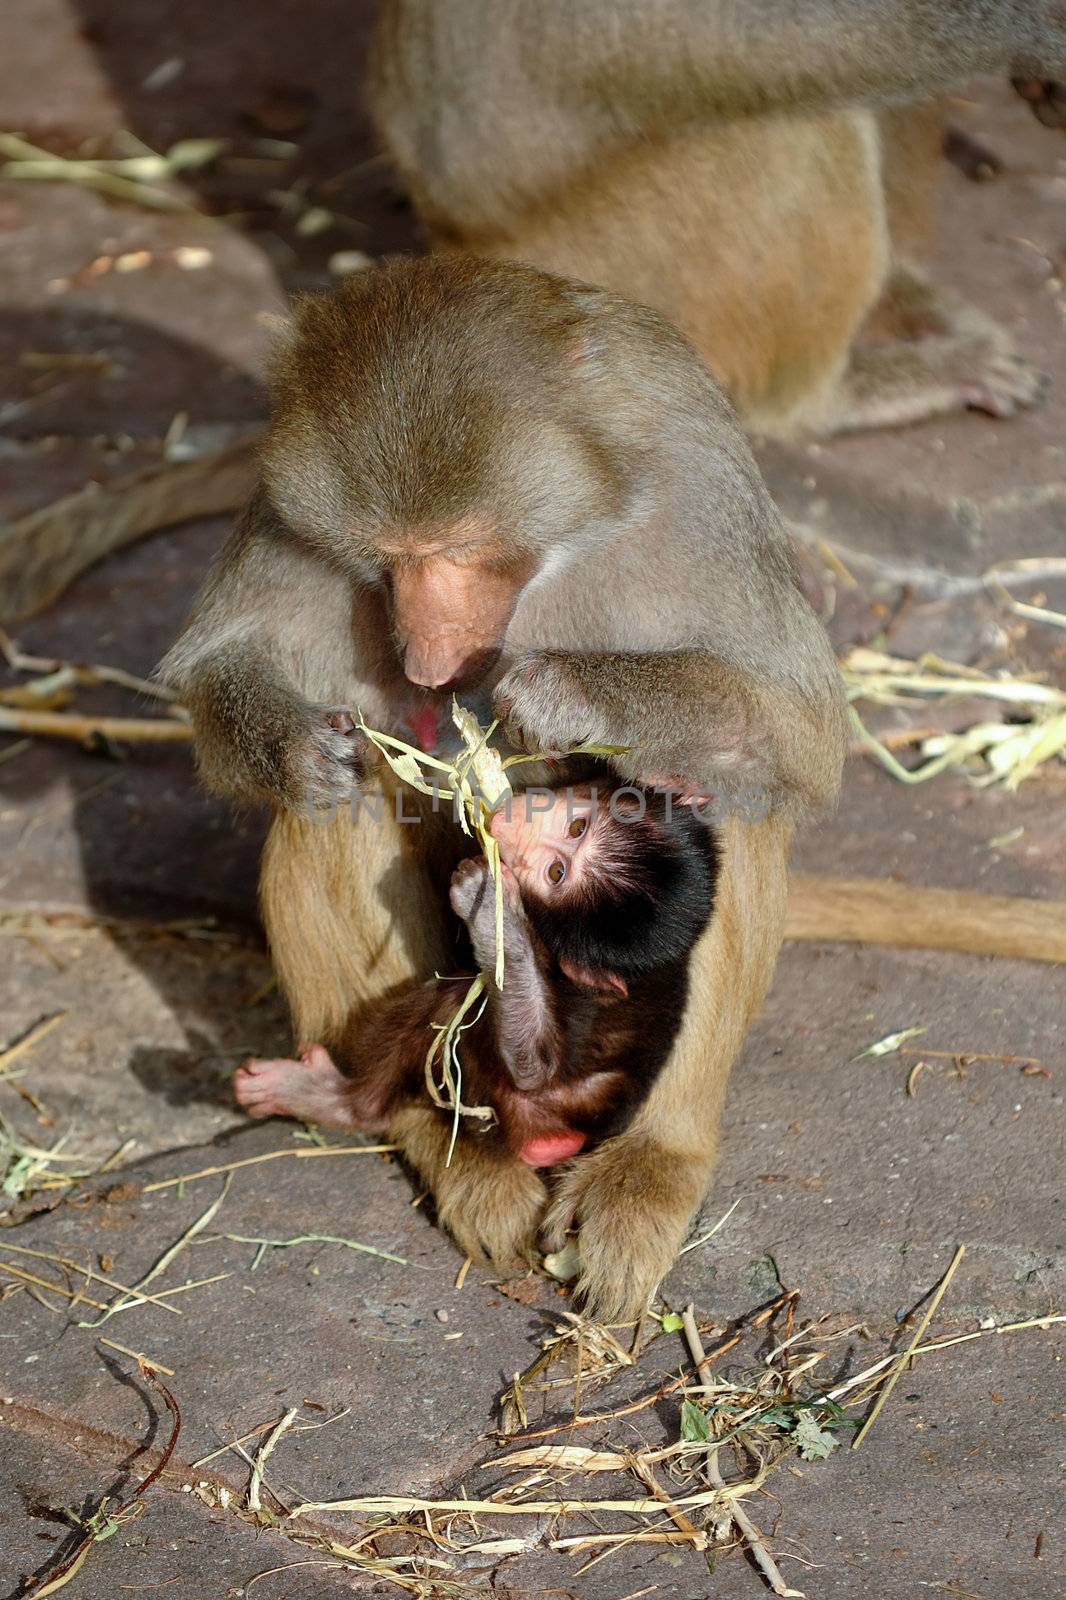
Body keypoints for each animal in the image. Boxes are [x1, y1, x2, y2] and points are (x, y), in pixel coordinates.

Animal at [232, 768, 713, 1171]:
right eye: (578, 828)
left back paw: (339, 1104)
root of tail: (560, 1134)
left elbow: (534, 1068)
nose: (520, 827)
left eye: (555, 873)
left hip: (502, 1097)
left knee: (447, 1005)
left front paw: (492, 910)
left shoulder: (583, 998)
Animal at [368, 0, 1062, 438]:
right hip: (612, 268)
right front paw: (1036, 32)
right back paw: (825, 398)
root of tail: (454, 246)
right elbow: (713, 39)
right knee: (796, 120)